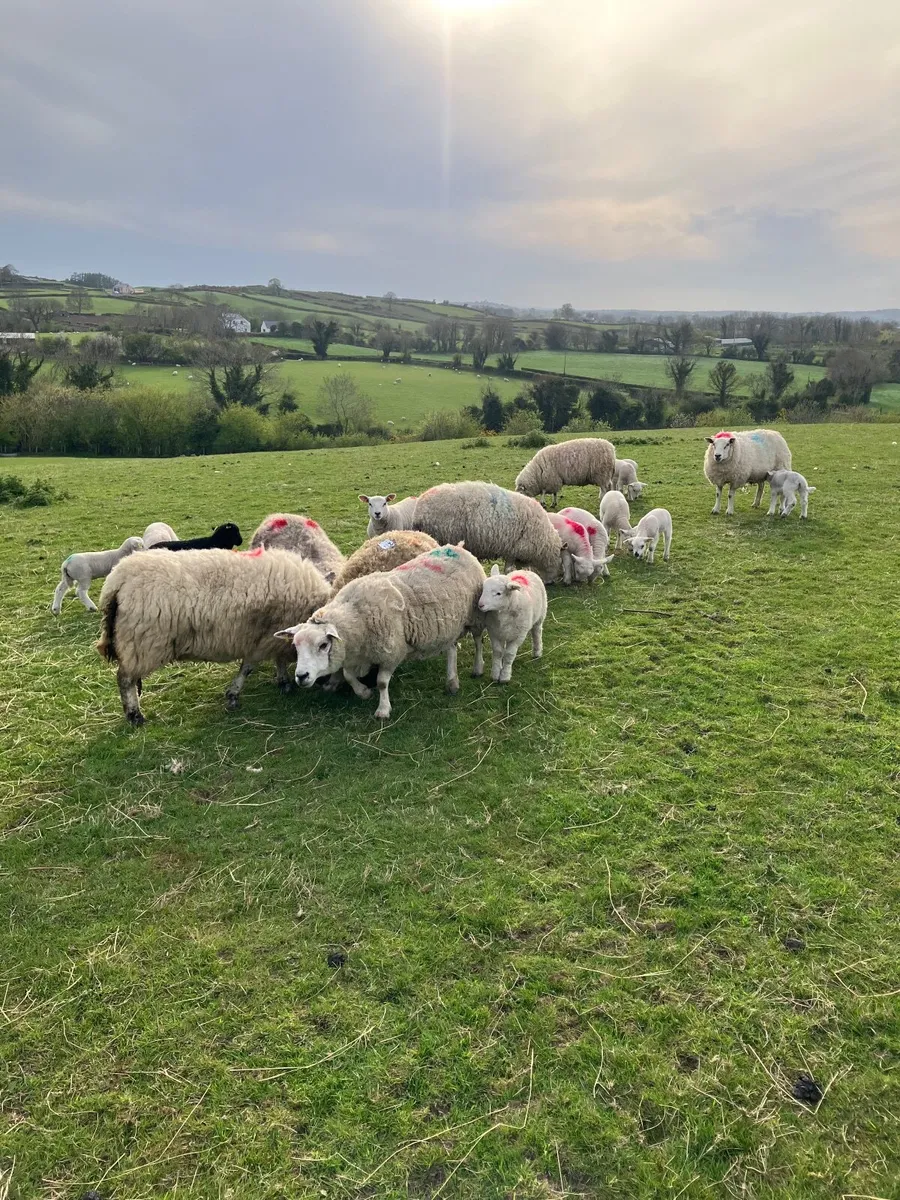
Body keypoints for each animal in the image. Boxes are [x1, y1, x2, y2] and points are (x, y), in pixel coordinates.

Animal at [96, 548, 330, 724]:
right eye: (324, 646)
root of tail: (117, 581)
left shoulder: (268, 639)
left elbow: (275, 661)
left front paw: (282, 682)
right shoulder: (263, 639)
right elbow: (249, 667)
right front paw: (235, 694)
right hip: (141, 642)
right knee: (124, 679)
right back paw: (134, 715)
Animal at [275, 544, 485, 720]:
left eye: (323, 645)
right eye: (296, 647)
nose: (301, 676)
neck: (356, 616)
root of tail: (458, 548)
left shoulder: (391, 652)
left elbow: (382, 682)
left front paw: (383, 710)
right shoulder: (356, 654)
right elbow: (349, 676)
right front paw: (364, 692)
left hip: (476, 616)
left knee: (478, 642)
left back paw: (478, 669)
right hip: (450, 624)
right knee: (451, 649)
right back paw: (452, 682)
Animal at [411, 481, 562, 582]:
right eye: (560, 562)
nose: (552, 582)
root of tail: (418, 511)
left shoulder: (511, 549)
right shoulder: (514, 548)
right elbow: (509, 568)